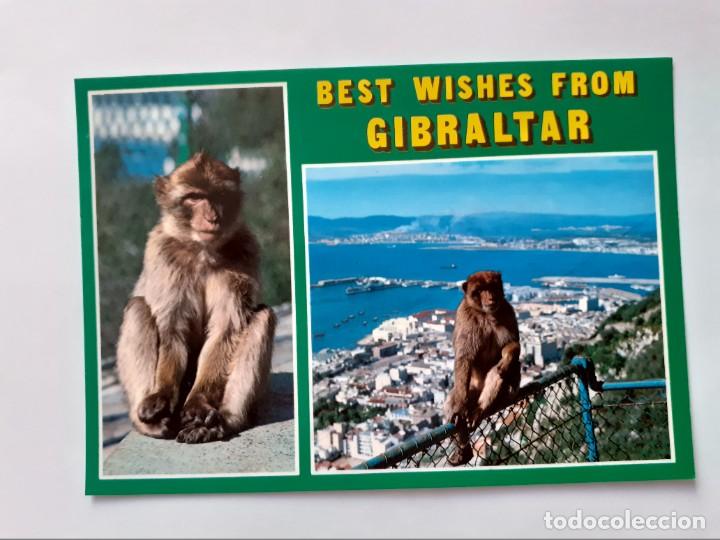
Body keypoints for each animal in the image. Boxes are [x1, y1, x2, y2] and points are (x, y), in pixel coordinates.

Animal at [116, 151, 276, 444]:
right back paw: (151, 424)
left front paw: (200, 404)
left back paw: (223, 421)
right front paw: (162, 394)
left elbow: (226, 330)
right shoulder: (162, 254)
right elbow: (171, 328)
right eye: (193, 197)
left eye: (219, 195)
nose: (212, 217)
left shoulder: (245, 251)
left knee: (263, 316)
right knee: (137, 308)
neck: (203, 251)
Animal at [444, 270, 521, 466]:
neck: (486, 314)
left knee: (501, 373)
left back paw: (479, 410)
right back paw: (464, 448)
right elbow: (464, 358)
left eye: (492, 287)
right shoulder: (465, 316)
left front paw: (507, 360)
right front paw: (459, 408)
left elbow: (513, 344)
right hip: (470, 389)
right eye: (480, 290)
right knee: (454, 403)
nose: (491, 297)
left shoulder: (508, 310)